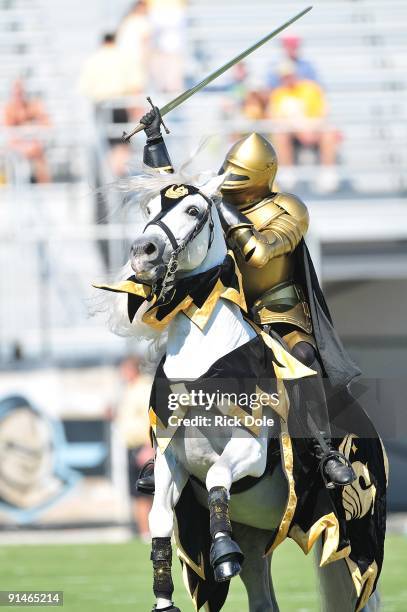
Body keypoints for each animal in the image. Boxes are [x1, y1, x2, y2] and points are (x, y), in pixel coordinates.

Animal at [99, 176, 382, 612]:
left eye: (193, 210)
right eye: (148, 210)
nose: (143, 252)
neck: (203, 360)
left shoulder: (249, 449)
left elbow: (217, 474)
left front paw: (221, 550)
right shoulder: (171, 460)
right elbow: (159, 515)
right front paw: (164, 595)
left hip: (356, 539)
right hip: (257, 536)